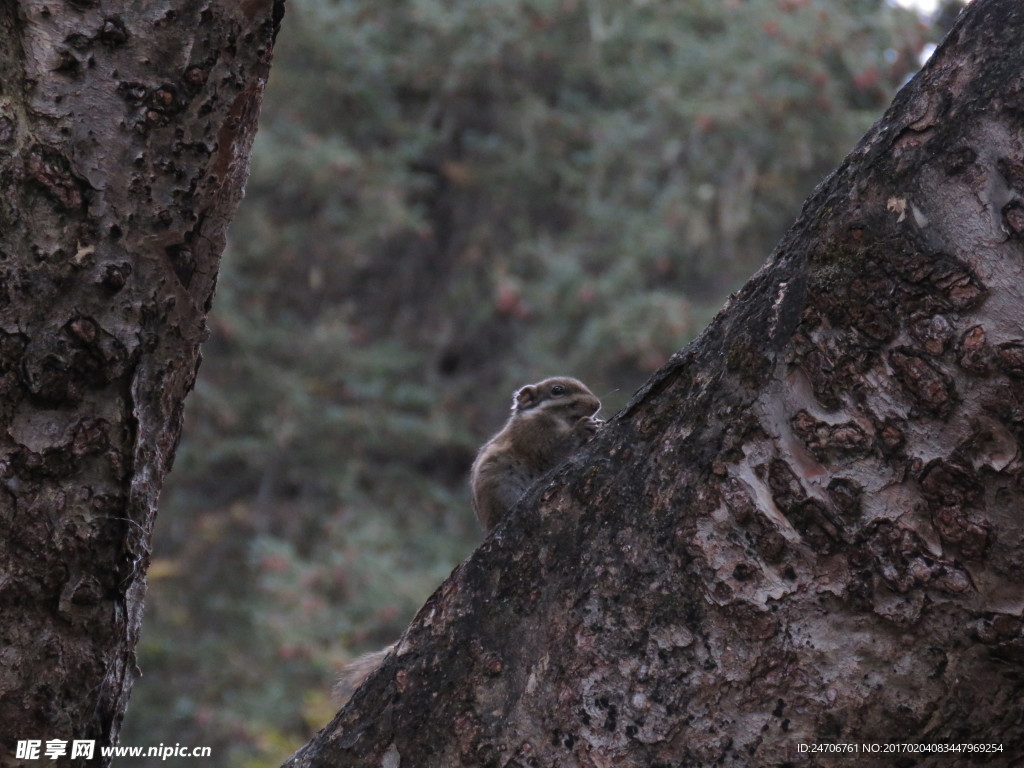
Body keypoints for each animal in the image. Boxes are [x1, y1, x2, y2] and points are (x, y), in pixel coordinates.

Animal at [331, 376, 602, 708]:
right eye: (558, 390)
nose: (596, 405)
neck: (547, 417)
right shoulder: (537, 438)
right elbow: (555, 450)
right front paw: (586, 428)